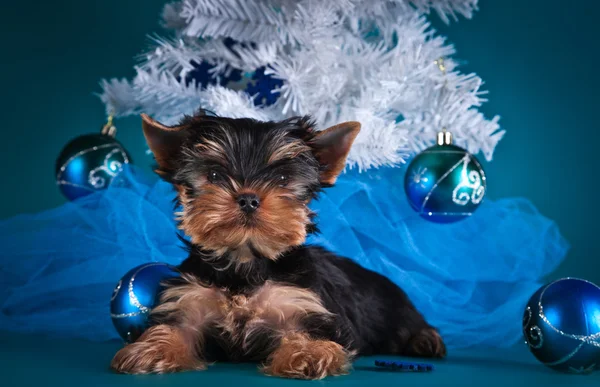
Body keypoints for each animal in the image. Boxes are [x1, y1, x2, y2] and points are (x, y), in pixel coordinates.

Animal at [110, 110, 442, 380]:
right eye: (214, 175)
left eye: (282, 178)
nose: (248, 198)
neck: (244, 262)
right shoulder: (190, 299)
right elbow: (176, 327)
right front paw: (153, 349)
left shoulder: (303, 303)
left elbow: (311, 332)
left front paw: (308, 352)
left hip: (391, 306)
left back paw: (426, 339)